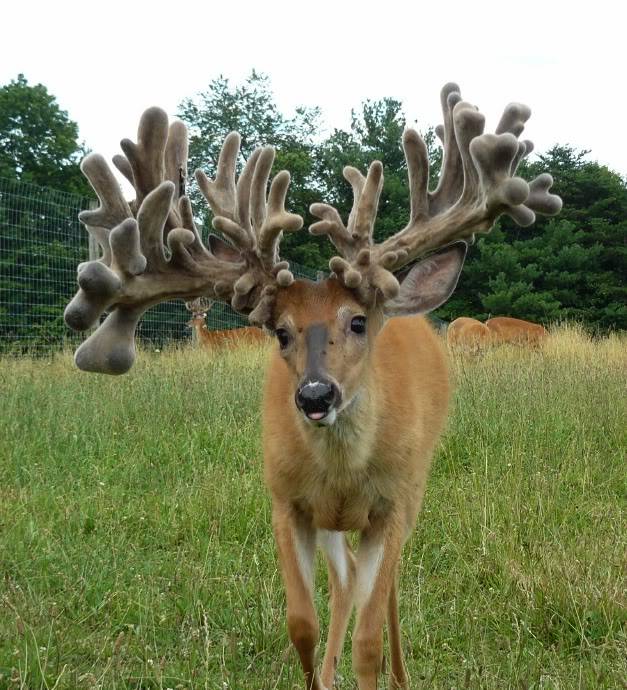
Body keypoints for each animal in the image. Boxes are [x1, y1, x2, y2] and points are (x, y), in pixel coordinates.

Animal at [65, 86, 564, 688]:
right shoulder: (286, 502)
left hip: (414, 491)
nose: (315, 397)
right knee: (345, 580)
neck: (343, 475)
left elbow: (369, 641)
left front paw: (373, 668)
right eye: (280, 331)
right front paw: (317, 674)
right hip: (334, 525)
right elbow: (301, 624)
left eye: (358, 321)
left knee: (386, 591)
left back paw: (401, 674)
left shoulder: (392, 506)